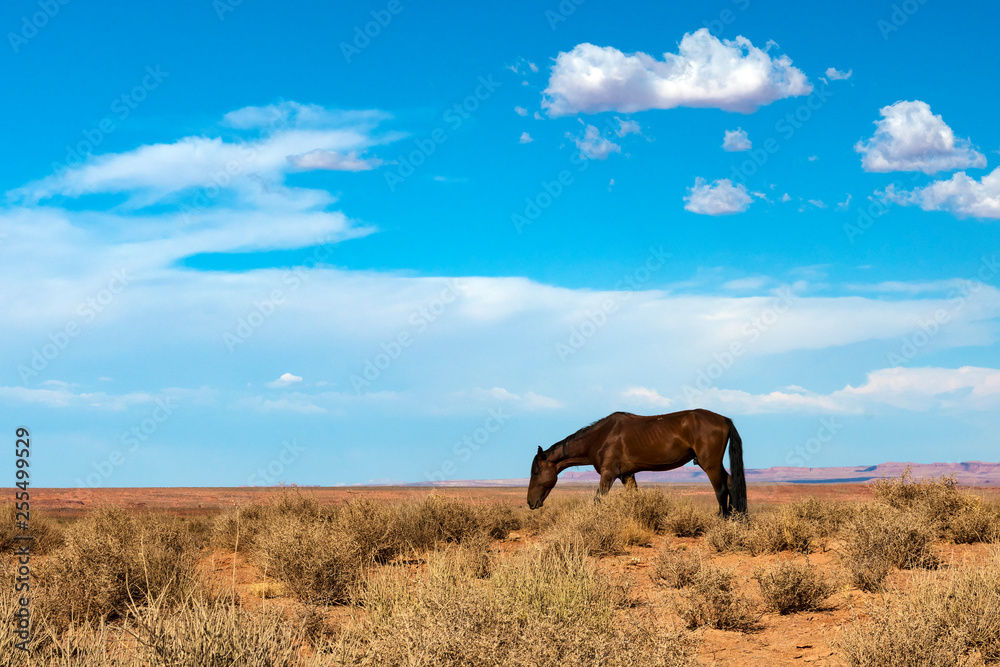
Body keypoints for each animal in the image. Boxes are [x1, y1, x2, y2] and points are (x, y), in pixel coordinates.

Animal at [526, 409, 746, 517]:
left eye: (536, 472)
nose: (530, 502)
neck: (600, 437)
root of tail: (724, 419)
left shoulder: (609, 474)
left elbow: (598, 500)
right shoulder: (627, 475)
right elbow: (634, 499)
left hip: (709, 464)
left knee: (721, 490)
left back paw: (721, 519)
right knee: (730, 483)